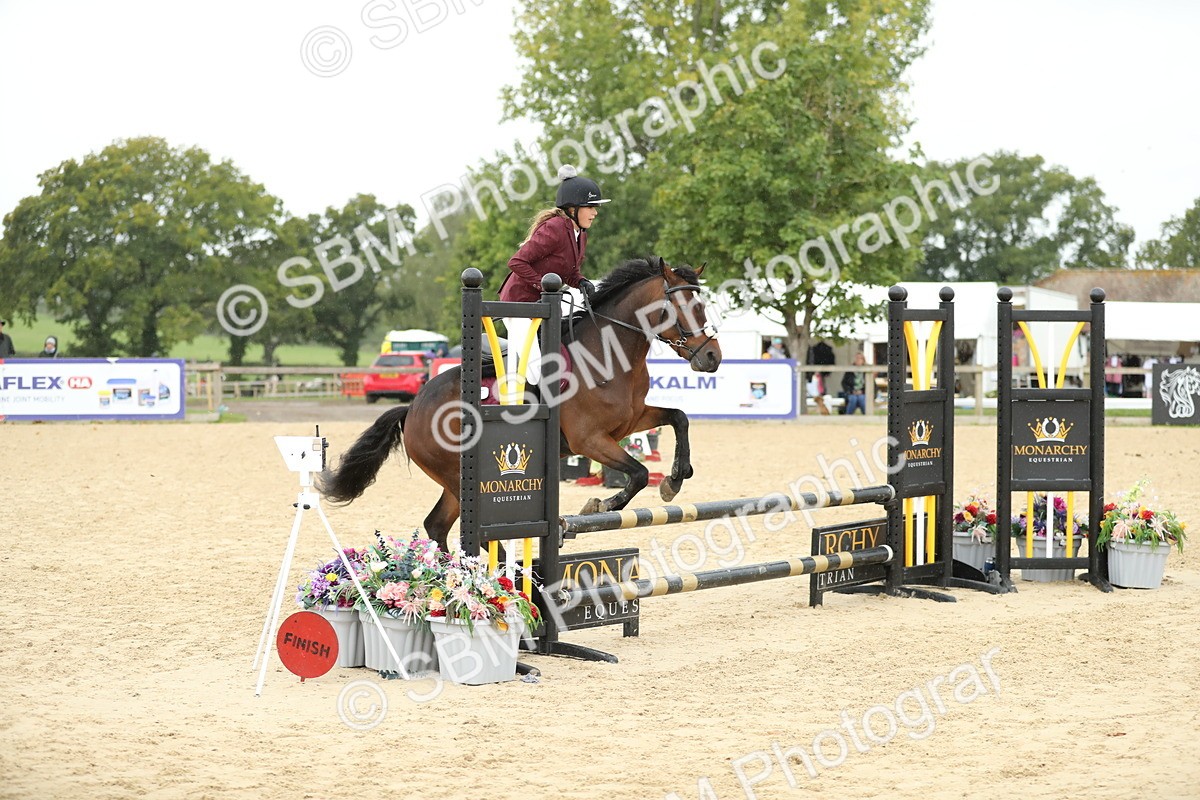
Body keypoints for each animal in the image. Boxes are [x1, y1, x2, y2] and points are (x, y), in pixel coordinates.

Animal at [319, 256, 723, 551]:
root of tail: (413, 407)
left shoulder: (631, 421)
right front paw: (600, 505)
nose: (712, 357)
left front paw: (675, 479)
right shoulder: (589, 440)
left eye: (702, 305)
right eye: (682, 306)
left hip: (455, 483)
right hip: (462, 478)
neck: (609, 354)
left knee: (437, 526)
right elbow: (637, 473)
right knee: (480, 535)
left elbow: (679, 419)